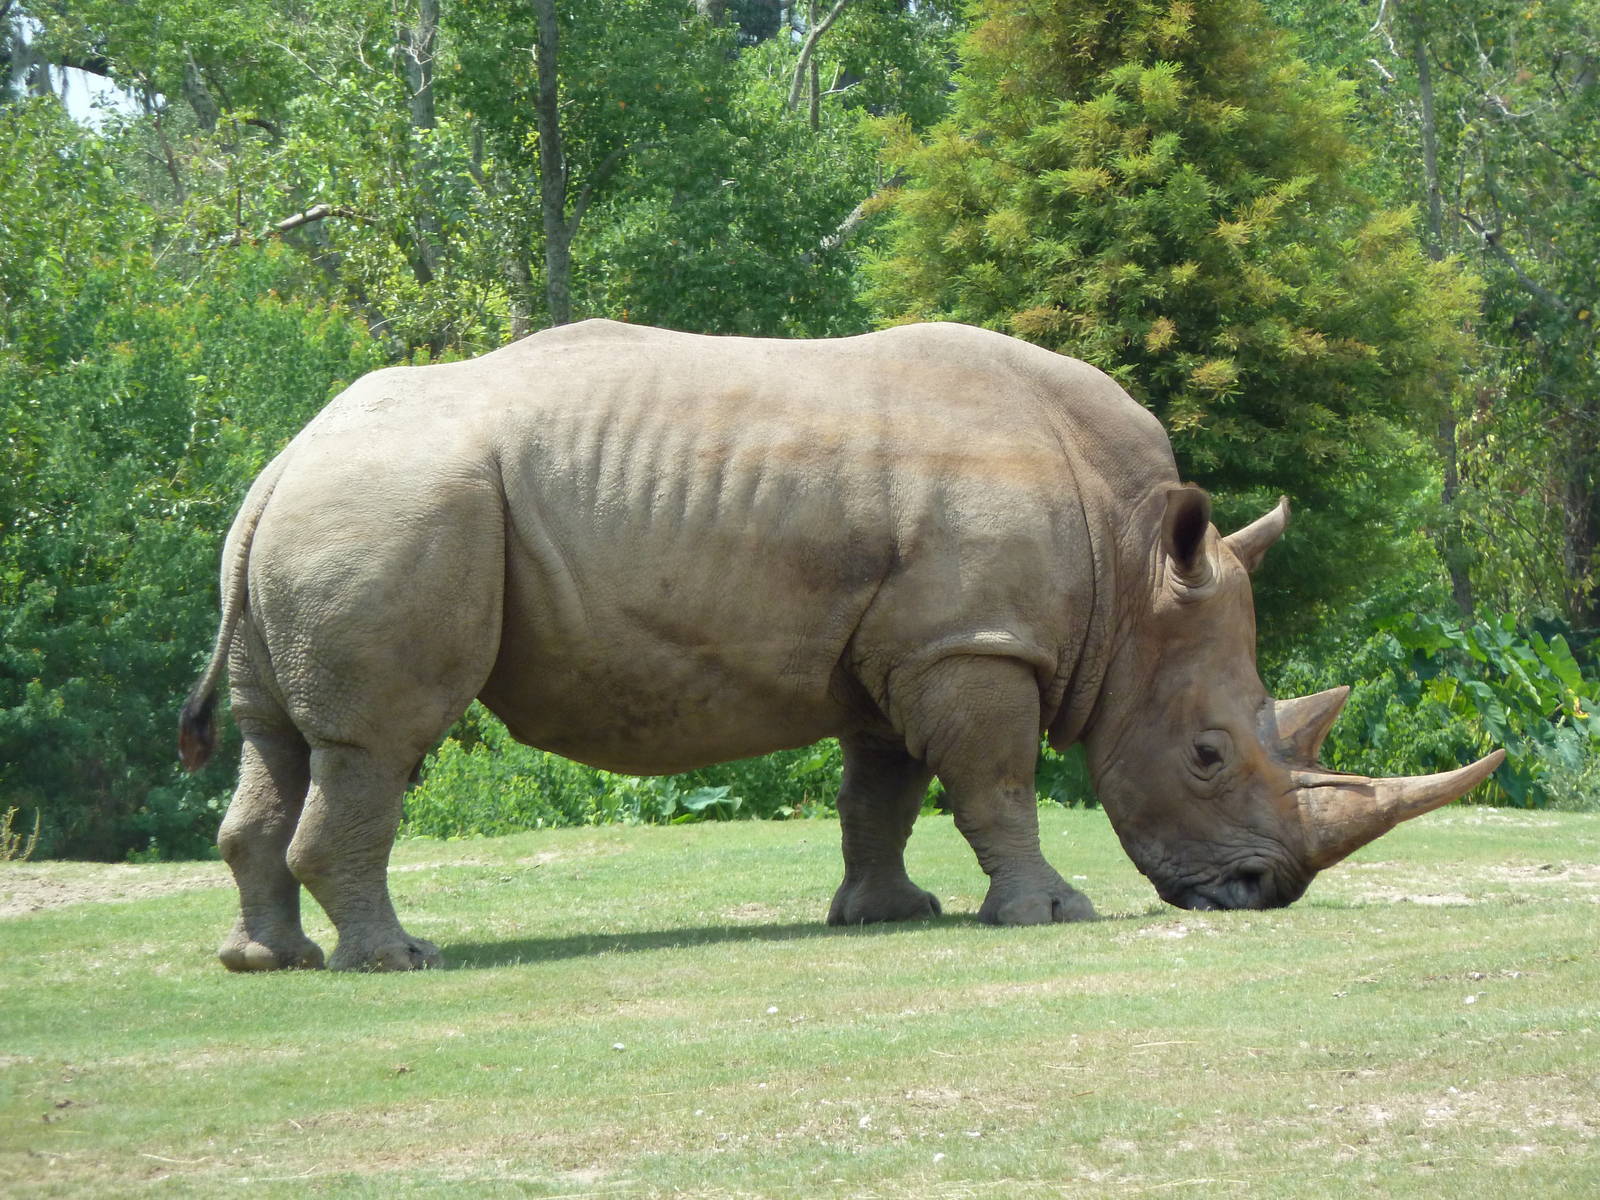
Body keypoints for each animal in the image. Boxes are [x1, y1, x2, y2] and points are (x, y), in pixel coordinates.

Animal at [180, 320, 1502, 971]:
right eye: (1210, 757)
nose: (1260, 892)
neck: (1129, 571)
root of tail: (281, 460)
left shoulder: (913, 649)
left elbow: (886, 792)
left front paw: (886, 916)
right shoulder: (977, 646)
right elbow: (996, 785)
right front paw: (1047, 917)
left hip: (333, 511)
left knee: (275, 739)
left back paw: (262, 962)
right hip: (398, 507)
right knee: (375, 744)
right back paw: (395, 960)